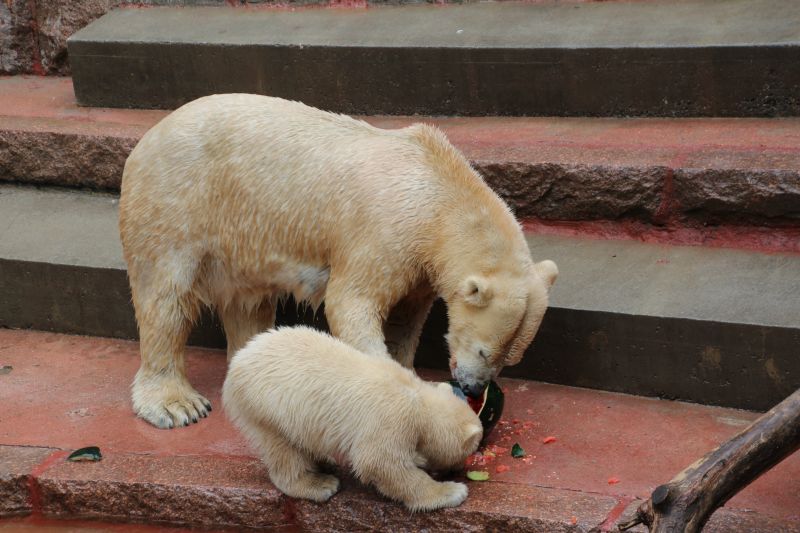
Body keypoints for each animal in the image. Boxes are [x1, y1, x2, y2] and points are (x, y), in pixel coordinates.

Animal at [120, 94, 556, 428]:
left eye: (509, 359)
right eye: (483, 351)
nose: (472, 388)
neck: (436, 191)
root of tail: (148, 137)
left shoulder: (418, 267)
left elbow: (405, 319)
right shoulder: (384, 232)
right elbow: (351, 304)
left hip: (241, 239)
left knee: (248, 300)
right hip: (175, 202)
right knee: (166, 300)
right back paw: (175, 404)